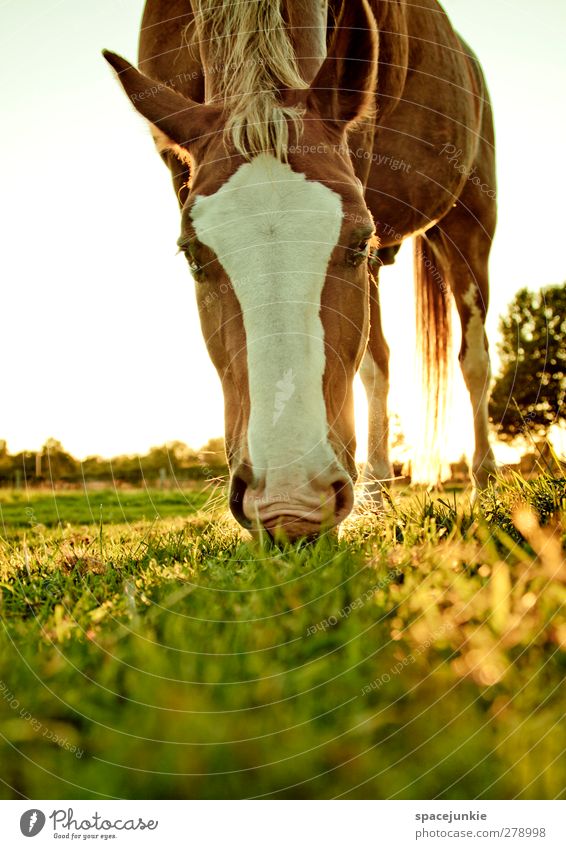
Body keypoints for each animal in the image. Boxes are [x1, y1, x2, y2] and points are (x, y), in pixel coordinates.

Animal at [104, 0, 500, 540]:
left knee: (473, 358)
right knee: (378, 362)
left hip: (468, 223)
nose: (289, 509)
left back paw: (484, 487)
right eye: (191, 255)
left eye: (358, 242)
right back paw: (377, 494)